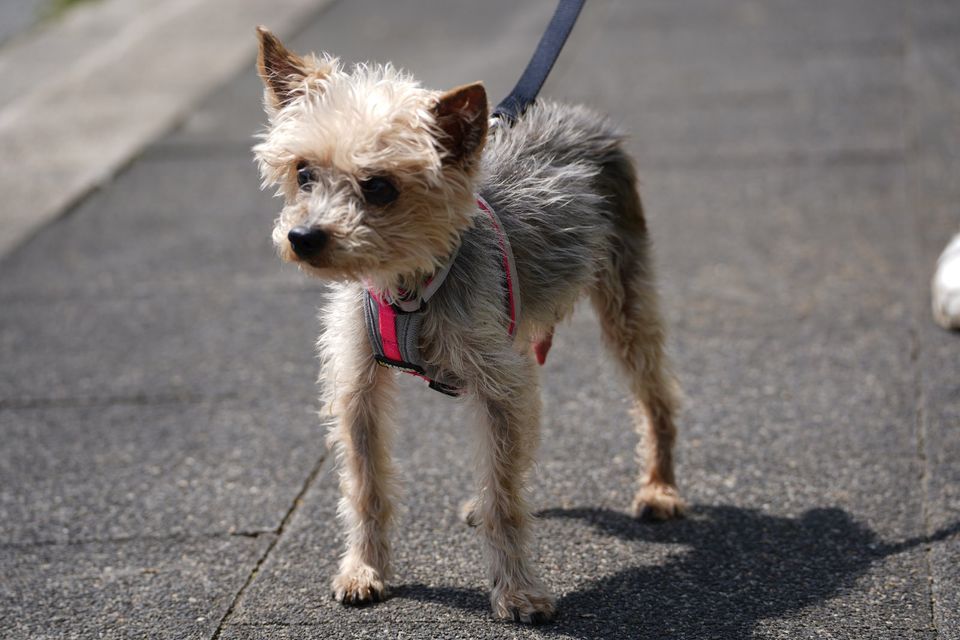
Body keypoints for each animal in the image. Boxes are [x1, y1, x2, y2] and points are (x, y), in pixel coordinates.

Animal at [253, 27, 684, 624]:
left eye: (380, 187)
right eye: (303, 173)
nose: (304, 237)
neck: (408, 287)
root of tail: (583, 118)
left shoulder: (498, 382)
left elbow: (505, 496)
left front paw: (518, 592)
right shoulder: (358, 384)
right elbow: (366, 484)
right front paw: (364, 570)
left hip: (626, 296)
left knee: (654, 394)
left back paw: (659, 488)